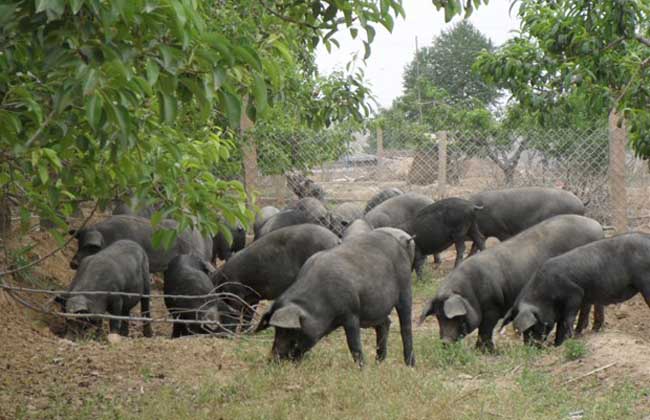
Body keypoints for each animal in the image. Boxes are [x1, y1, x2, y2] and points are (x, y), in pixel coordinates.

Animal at [211, 225, 342, 330]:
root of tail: (336, 240)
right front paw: (245, 332)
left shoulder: (236, 294)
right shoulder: (252, 297)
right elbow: (248, 315)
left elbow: (235, 313)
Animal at [254, 228, 416, 366]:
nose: (272, 360)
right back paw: (379, 364)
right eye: (276, 330)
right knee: (385, 323)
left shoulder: (351, 313)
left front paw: (362, 369)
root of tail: (402, 243)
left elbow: (354, 345)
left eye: (289, 330)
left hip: (405, 287)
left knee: (405, 326)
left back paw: (410, 365)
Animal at [418, 215, 600, 350]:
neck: (469, 293)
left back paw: (586, 331)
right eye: (438, 317)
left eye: (453, 317)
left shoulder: (492, 307)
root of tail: (596, 226)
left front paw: (486, 351)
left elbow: (485, 330)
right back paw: (586, 330)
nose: (444, 342)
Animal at [504, 231, 650, 346]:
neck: (545, 295)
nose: (530, 347)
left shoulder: (575, 294)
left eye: (531, 328)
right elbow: (567, 321)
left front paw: (571, 338)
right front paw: (558, 344)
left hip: (645, 282)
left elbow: (568, 319)